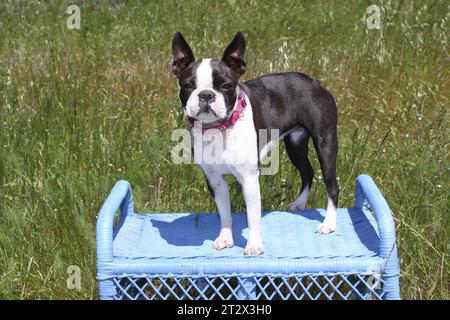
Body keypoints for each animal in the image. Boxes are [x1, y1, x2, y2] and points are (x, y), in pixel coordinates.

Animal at [171, 30, 338, 255]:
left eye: (226, 86)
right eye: (187, 86)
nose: (206, 95)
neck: (219, 128)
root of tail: (314, 81)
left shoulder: (249, 179)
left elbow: (253, 217)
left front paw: (253, 245)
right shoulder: (215, 180)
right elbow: (224, 213)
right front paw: (225, 238)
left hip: (325, 142)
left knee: (331, 184)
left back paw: (329, 223)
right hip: (295, 144)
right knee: (307, 172)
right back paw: (299, 203)